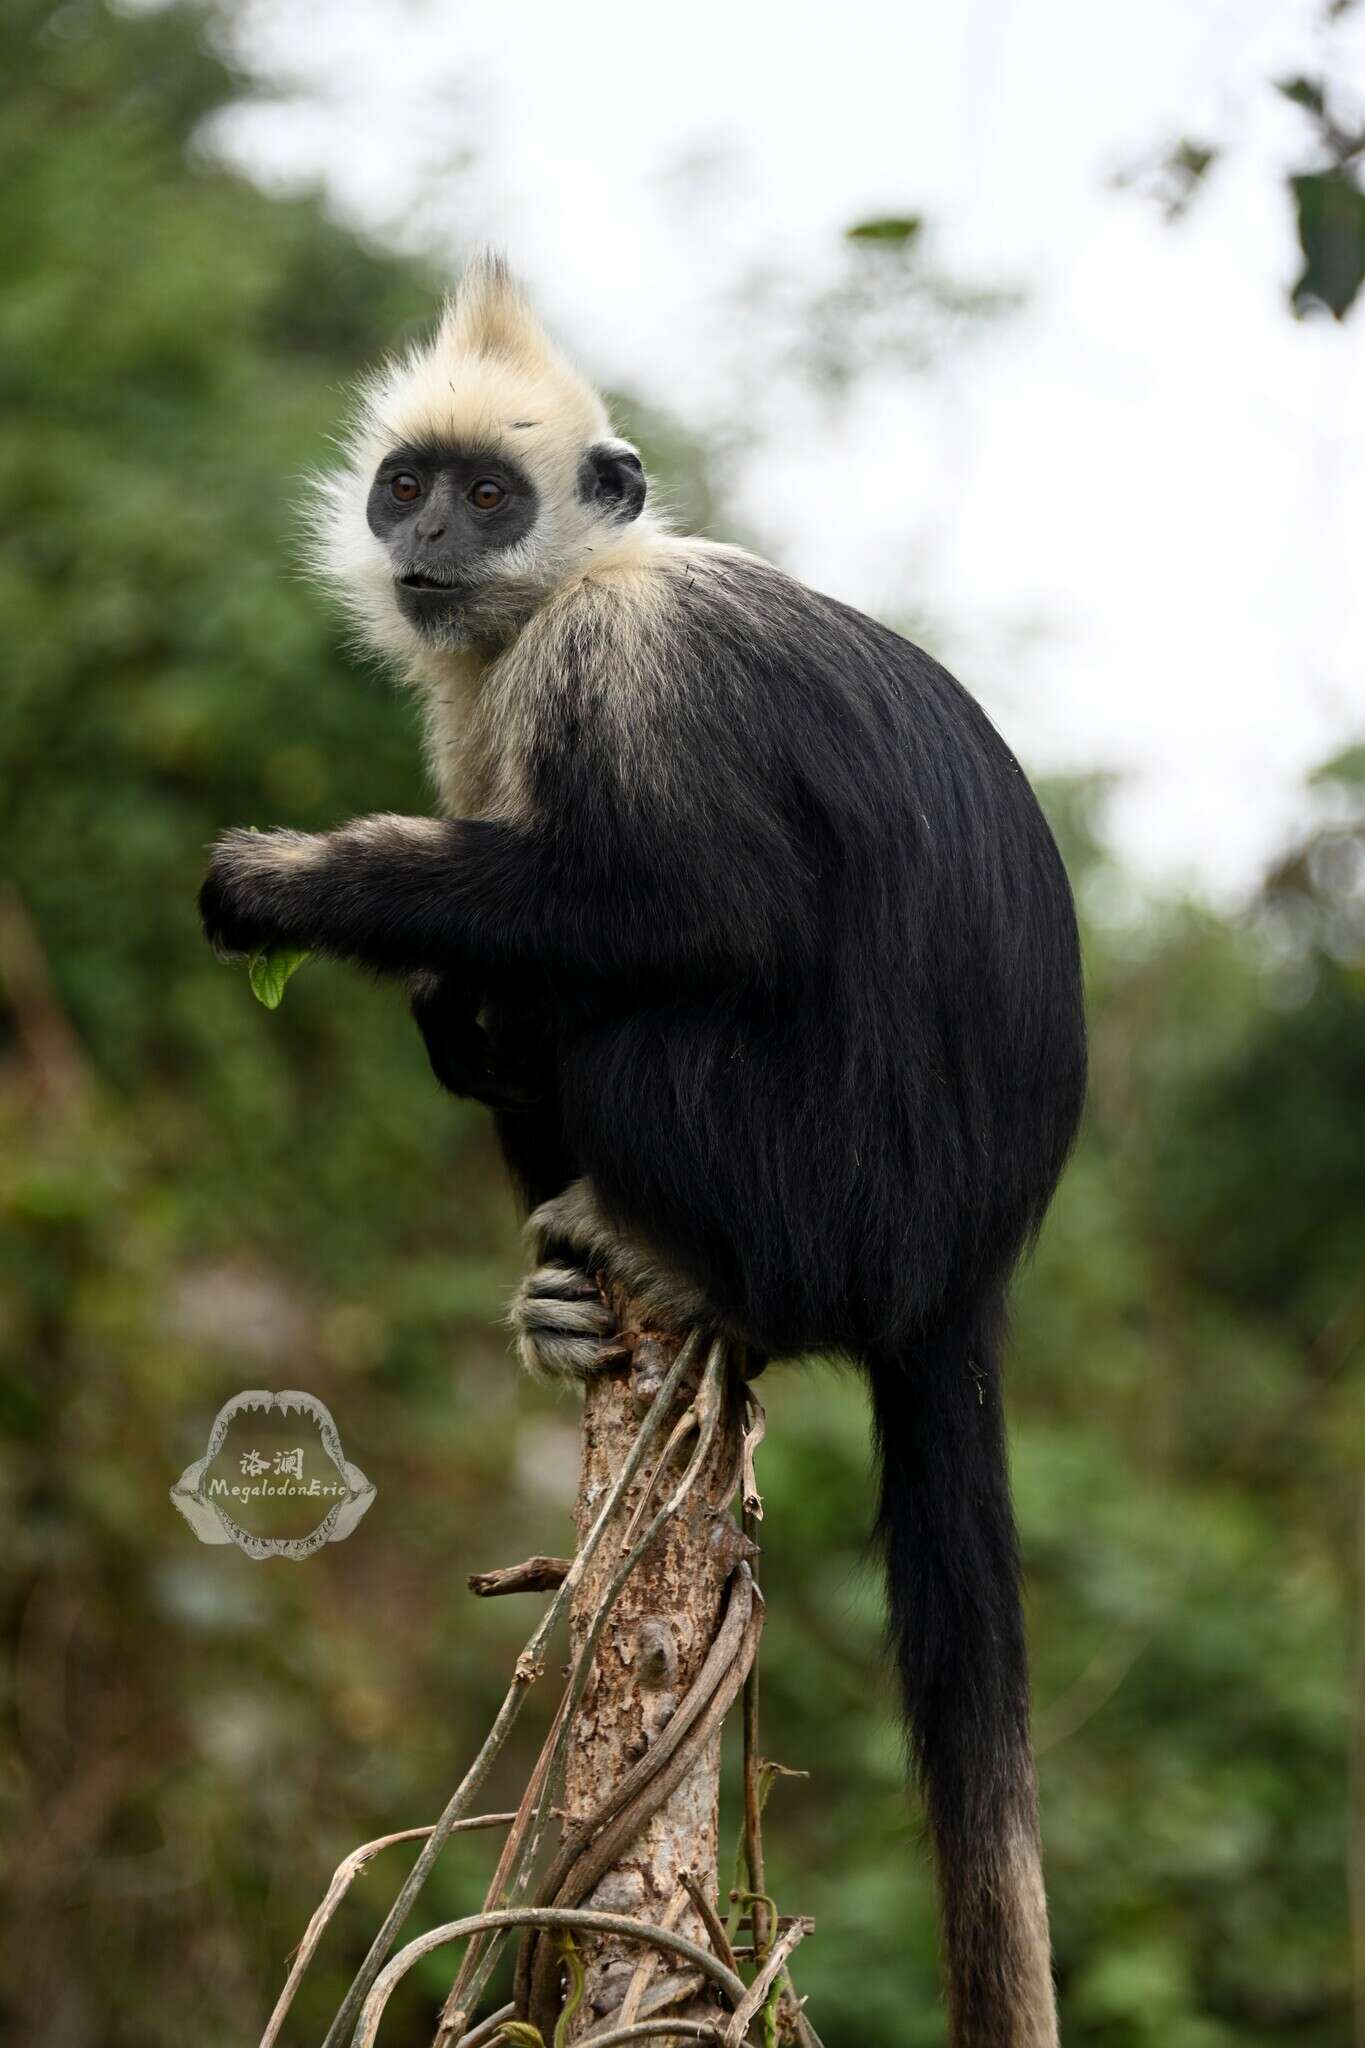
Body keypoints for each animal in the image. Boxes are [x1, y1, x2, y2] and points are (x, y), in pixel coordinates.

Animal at [197, 256, 1088, 2048]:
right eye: (411, 485)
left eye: (490, 495)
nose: (432, 540)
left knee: (614, 1001)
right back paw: (565, 1281)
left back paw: (656, 1246)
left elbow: (701, 908)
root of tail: (961, 1270)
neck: (566, 589)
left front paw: (297, 882)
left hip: (812, 1194)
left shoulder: (613, 659)